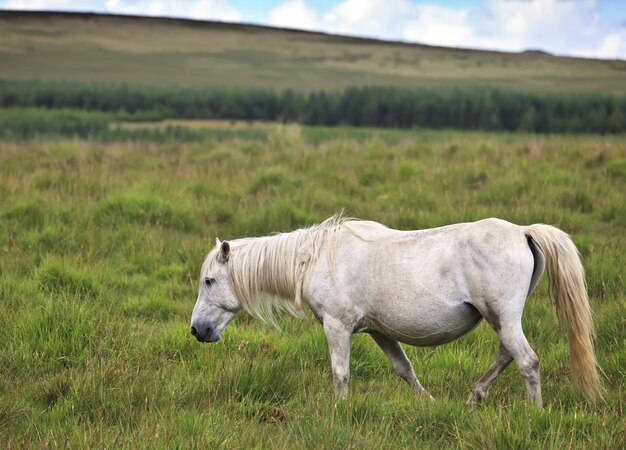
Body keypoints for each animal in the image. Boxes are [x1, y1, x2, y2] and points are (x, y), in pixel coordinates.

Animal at [188, 214, 596, 404]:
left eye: (208, 281)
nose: (196, 330)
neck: (317, 258)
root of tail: (523, 231)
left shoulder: (337, 326)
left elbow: (340, 374)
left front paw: (339, 412)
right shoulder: (380, 332)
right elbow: (405, 370)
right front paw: (429, 403)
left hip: (503, 318)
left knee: (527, 361)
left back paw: (533, 411)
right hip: (503, 320)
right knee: (507, 356)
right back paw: (474, 398)